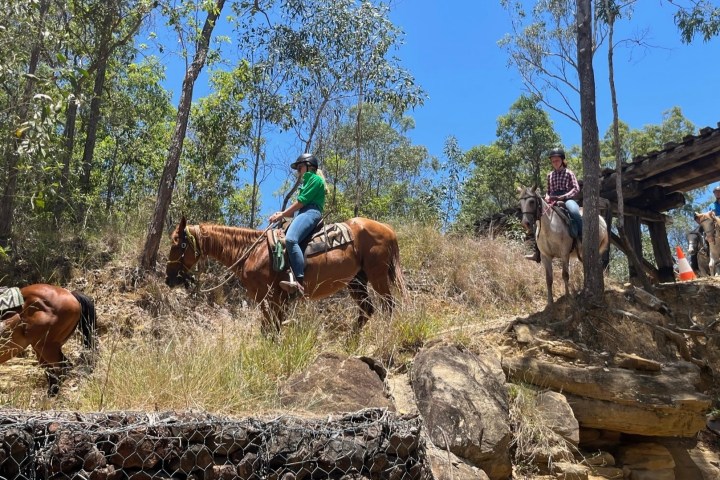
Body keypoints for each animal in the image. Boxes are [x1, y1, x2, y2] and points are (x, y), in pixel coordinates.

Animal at [165, 216, 408, 336]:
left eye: (178, 244)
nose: (169, 278)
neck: (254, 252)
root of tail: (388, 229)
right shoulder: (273, 299)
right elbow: (271, 327)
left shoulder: (270, 296)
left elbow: (270, 328)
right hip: (356, 281)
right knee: (367, 309)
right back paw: (350, 340)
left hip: (377, 275)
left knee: (388, 305)